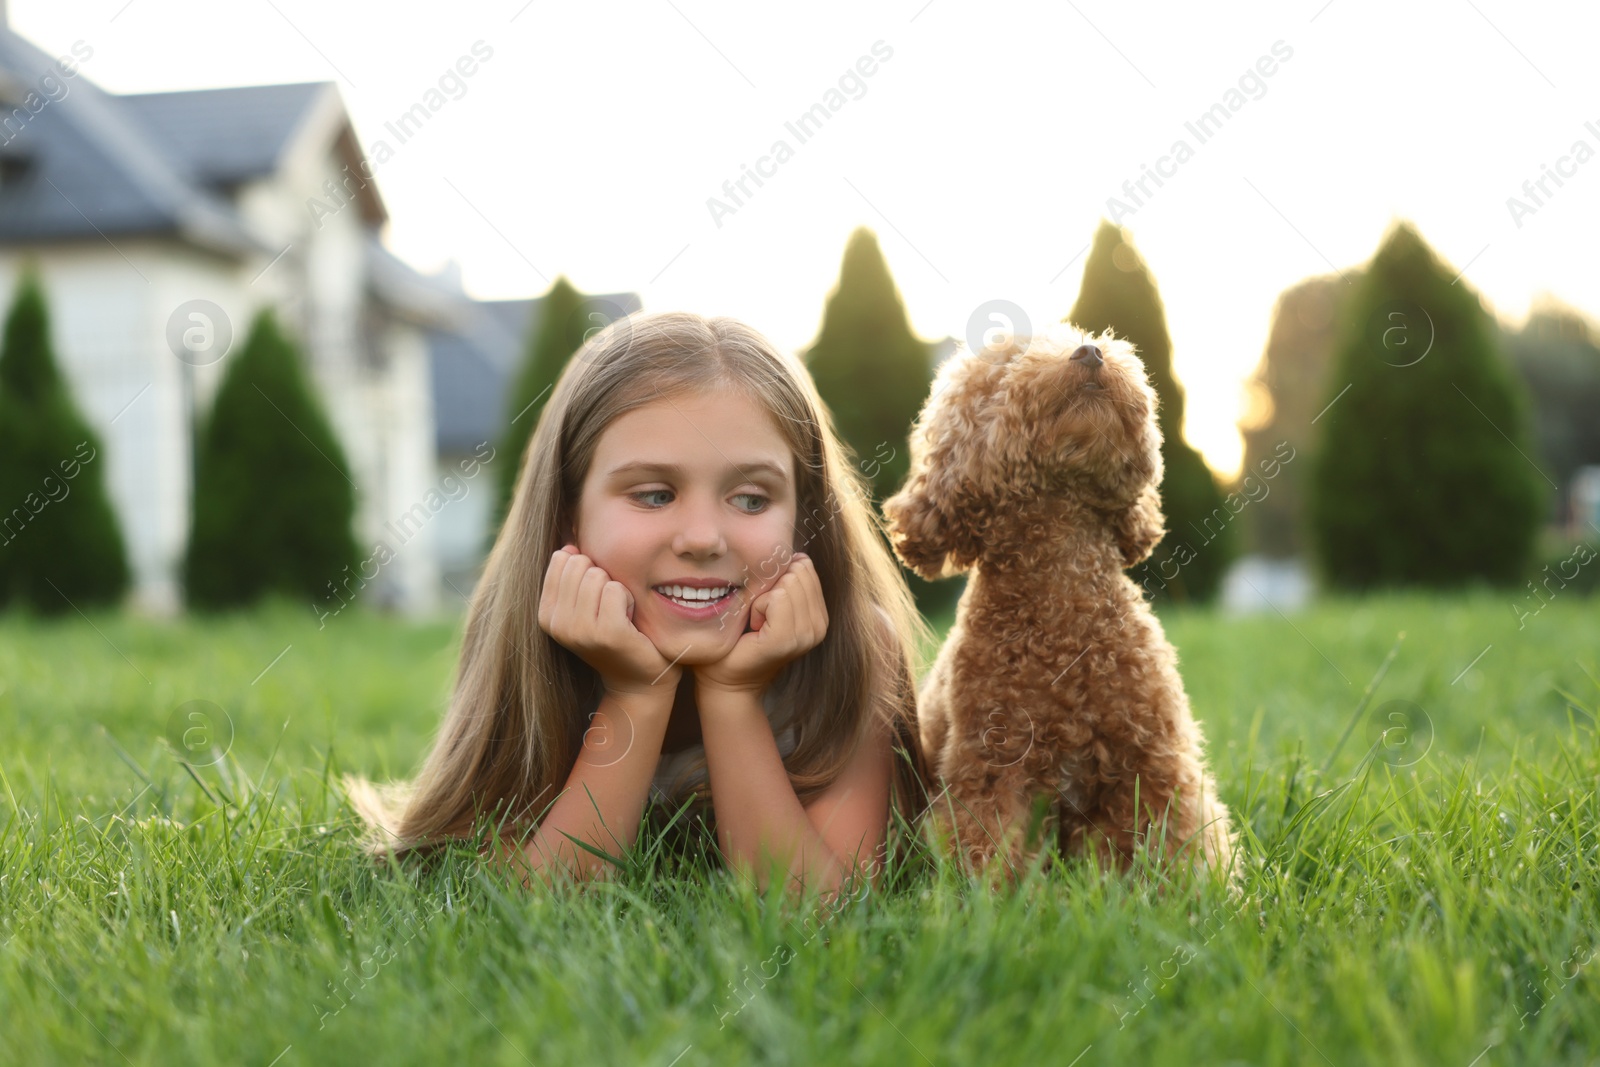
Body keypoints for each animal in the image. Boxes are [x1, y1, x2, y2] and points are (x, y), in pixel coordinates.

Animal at [889, 321, 1235, 889]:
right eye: (1008, 366)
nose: (1091, 352)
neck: (1064, 602)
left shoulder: (1153, 760)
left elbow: (1179, 841)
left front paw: (1199, 897)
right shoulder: (993, 769)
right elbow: (987, 849)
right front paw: (988, 902)